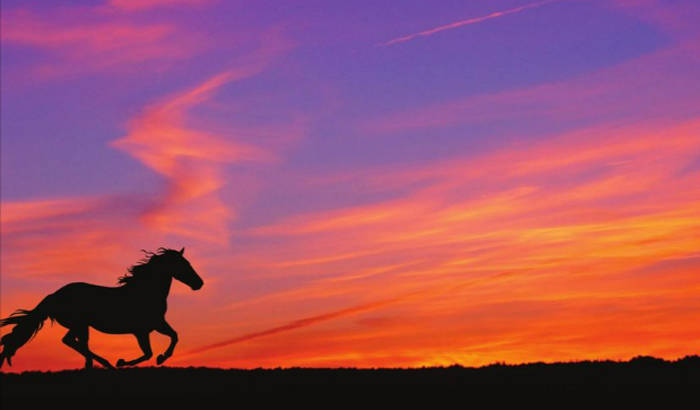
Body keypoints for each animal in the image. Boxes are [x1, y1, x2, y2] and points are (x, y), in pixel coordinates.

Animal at [0, 247, 203, 369]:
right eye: (183, 265)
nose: (199, 284)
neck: (145, 291)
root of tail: (55, 295)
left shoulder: (153, 326)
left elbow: (170, 339)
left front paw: (159, 358)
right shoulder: (145, 329)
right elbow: (152, 351)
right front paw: (123, 362)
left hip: (83, 327)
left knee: (78, 344)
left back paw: (95, 365)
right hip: (79, 324)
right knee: (69, 341)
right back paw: (107, 364)